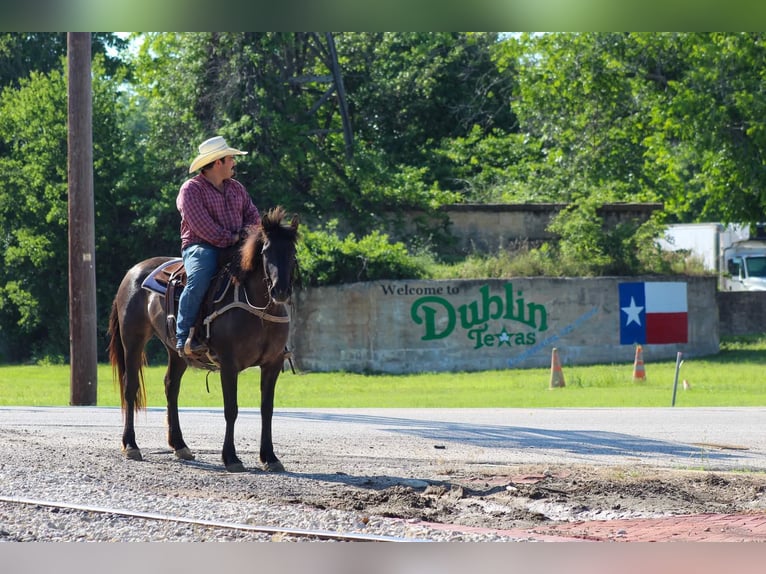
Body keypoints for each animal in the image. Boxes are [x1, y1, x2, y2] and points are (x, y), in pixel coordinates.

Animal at [108, 206, 300, 472]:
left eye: (292, 251)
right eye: (265, 251)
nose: (280, 291)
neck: (258, 309)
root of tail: (132, 272)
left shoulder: (271, 365)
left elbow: (267, 410)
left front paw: (270, 458)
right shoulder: (229, 365)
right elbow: (231, 409)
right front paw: (231, 458)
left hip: (176, 351)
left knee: (171, 387)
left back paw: (180, 445)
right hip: (133, 340)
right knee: (130, 387)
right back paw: (131, 445)